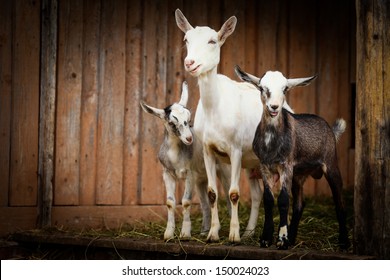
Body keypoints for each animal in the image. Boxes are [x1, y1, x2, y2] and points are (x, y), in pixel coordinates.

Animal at [175, 9, 294, 243]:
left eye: (212, 41)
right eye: (186, 40)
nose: (190, 63)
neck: (215, 108)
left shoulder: (236, 150)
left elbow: (234, 193)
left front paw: (233, 235)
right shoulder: (208, 150)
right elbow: (213, 193)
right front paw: (213, 234)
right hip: (253, 162)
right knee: (257, 195)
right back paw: (249, 231)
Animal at [236, 65, 348, 249]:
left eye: (285, 89)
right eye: (262, 88)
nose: (274, 107)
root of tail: (330, 128)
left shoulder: (286, 165)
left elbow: (283, 200)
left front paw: (281, 239)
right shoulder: (265, 166)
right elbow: (268, 200)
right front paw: (266, 238)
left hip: (331, 163)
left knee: (339, 202)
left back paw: (344, 242)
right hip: (299, 175)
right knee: (299, 204)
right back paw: (293, 238)